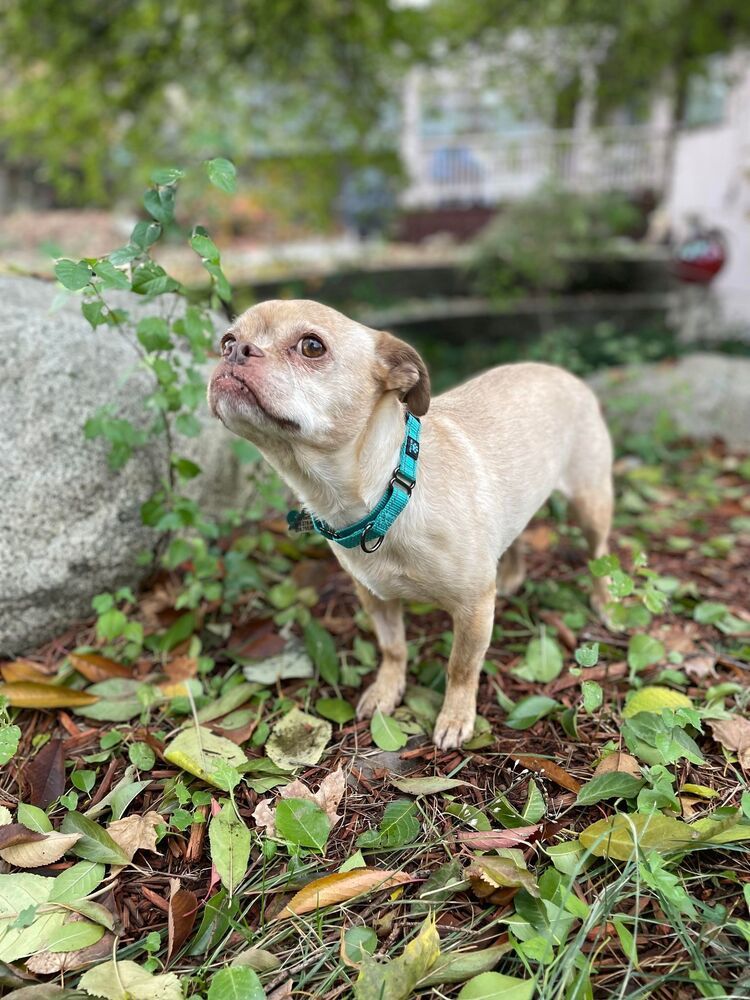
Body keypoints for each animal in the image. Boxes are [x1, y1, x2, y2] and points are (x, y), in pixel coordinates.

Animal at [207, 300, 616, 748]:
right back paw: (511, 574)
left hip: (591, 505)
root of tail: (562, 373)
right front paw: (387, 690)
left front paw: (455, 717)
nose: (235, 351)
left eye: (312, 346)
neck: (386, 494)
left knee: (600, 553)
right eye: (225, 340)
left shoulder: (473, 610)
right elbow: (394, 649)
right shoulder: (376, 599)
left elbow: (461, 668)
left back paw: (604, 601)